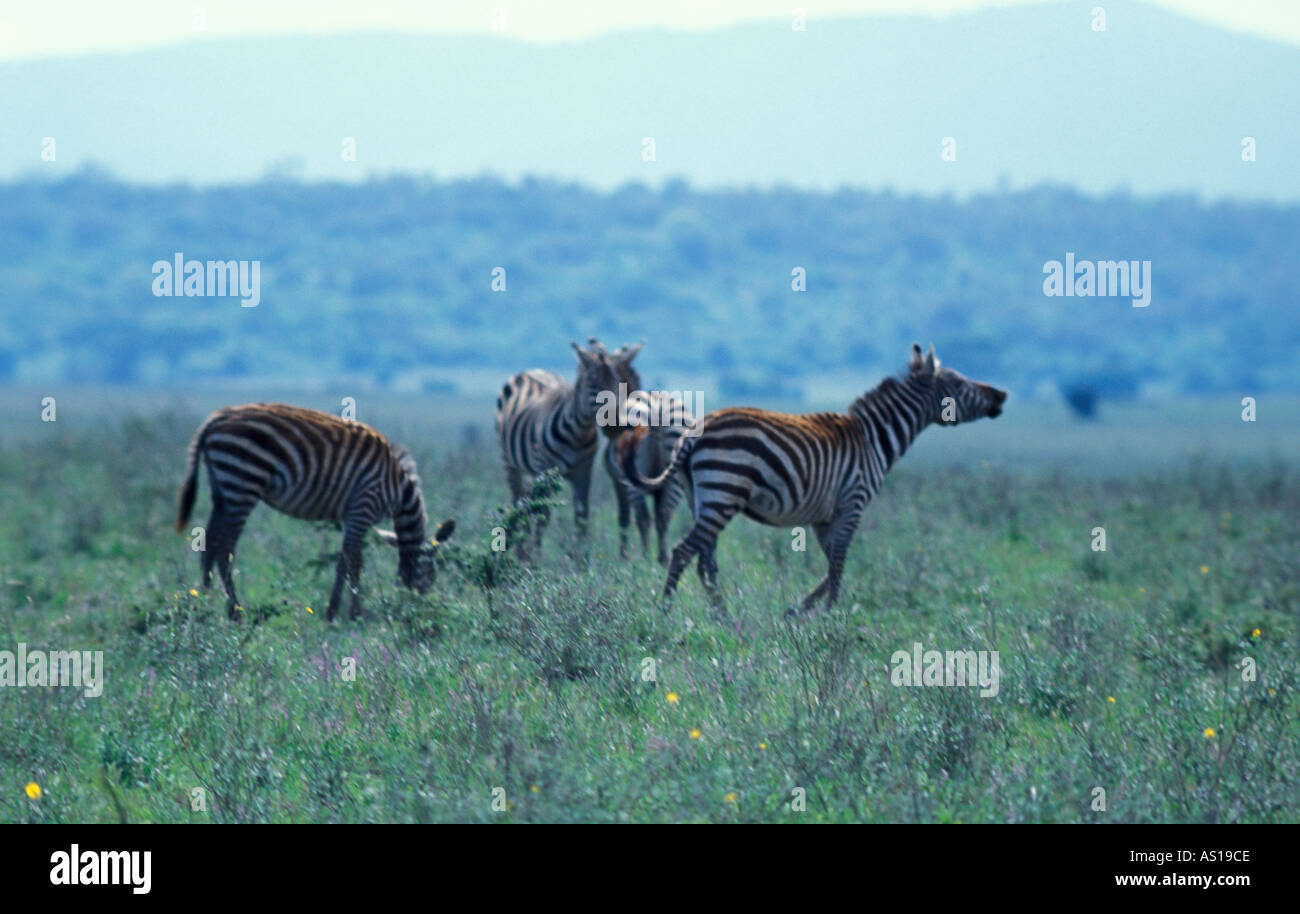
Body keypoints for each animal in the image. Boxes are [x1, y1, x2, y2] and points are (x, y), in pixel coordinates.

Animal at [172, 405, 457, 621]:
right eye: (432, 573)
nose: (415, 609)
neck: (399, 491)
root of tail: (217, 418)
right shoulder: (363, 506)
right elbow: (348, 561)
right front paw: (339, 613)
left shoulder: (352, 516)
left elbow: (355, 560)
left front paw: (351, 612)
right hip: (242, 483)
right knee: (225, 549)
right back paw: (235, 612)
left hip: (222, 490)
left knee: (209, 545)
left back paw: (206, 605)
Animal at [496, 340, 618, 556]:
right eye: (593, 382)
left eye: (617, 380)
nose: (616, 424)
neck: (578, 433)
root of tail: (531, 370)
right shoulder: (545, 470)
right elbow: (543, 515)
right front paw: (535, 556)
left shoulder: (584, 472)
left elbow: (581, 516)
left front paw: (581, 555)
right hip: (511, 463)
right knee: (518, 502)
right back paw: (520, 550)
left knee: (527, 503)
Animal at [611, 387, 696, 564]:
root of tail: (658, 411)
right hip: (674, 473)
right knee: (662, 515)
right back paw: (661, 558)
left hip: (635, 475)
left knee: (643, 517)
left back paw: (645, 557)